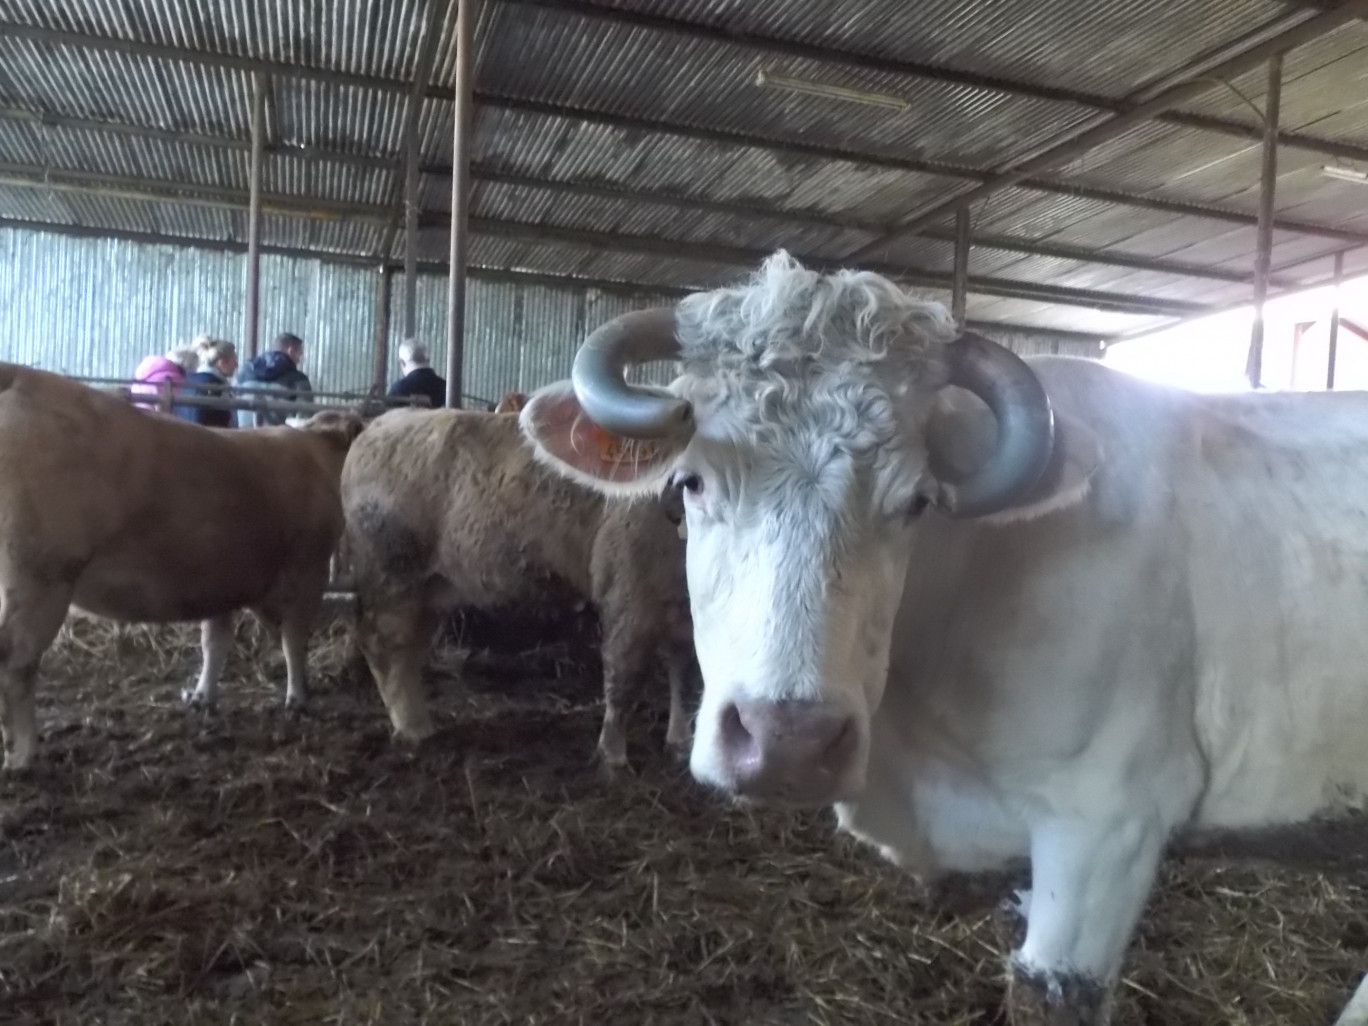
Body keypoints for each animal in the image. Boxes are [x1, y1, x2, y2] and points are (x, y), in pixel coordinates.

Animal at [0, 361, 366, 771]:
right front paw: (299, 698)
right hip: (42, 575)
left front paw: (203, 696)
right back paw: (23, 753)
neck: (317, 455)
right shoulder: (309, 571)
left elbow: (215, 641)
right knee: (17, 659)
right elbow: (294, 641)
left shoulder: (224, 579)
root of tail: (21, 376)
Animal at [342, 407, 694, 771]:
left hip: (430, 588)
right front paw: (612, 757)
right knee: (382, 643)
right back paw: (412, 728)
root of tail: (376, 424)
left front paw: (680, 745)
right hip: (392, 574)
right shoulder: (628, 596)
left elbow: (685, 676)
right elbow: (624, 678)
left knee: (409, 649)